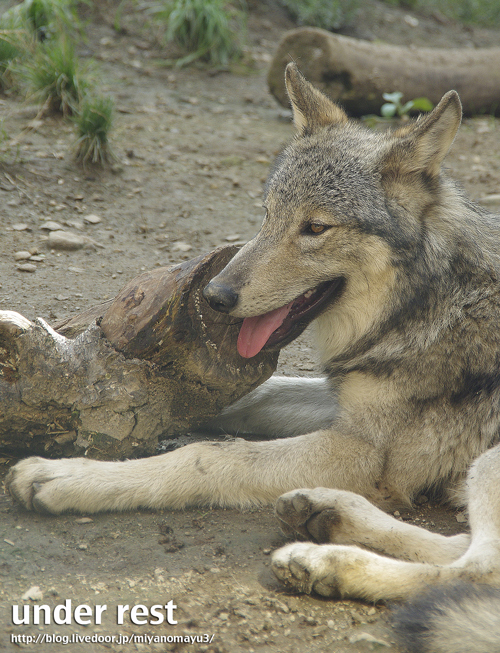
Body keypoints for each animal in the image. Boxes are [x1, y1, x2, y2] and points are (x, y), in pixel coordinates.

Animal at [2, 65, 500, 648]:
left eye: (315, 228)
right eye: (267, 215)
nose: (216, 295)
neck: (429, 297)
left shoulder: (366, 450)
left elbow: (209, 455)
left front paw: (64, 475)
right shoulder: (343, 406)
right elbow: (252, 397)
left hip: (487, 464)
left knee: (474, 572)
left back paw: (324, 563)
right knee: (460, 550)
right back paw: (326, 513)